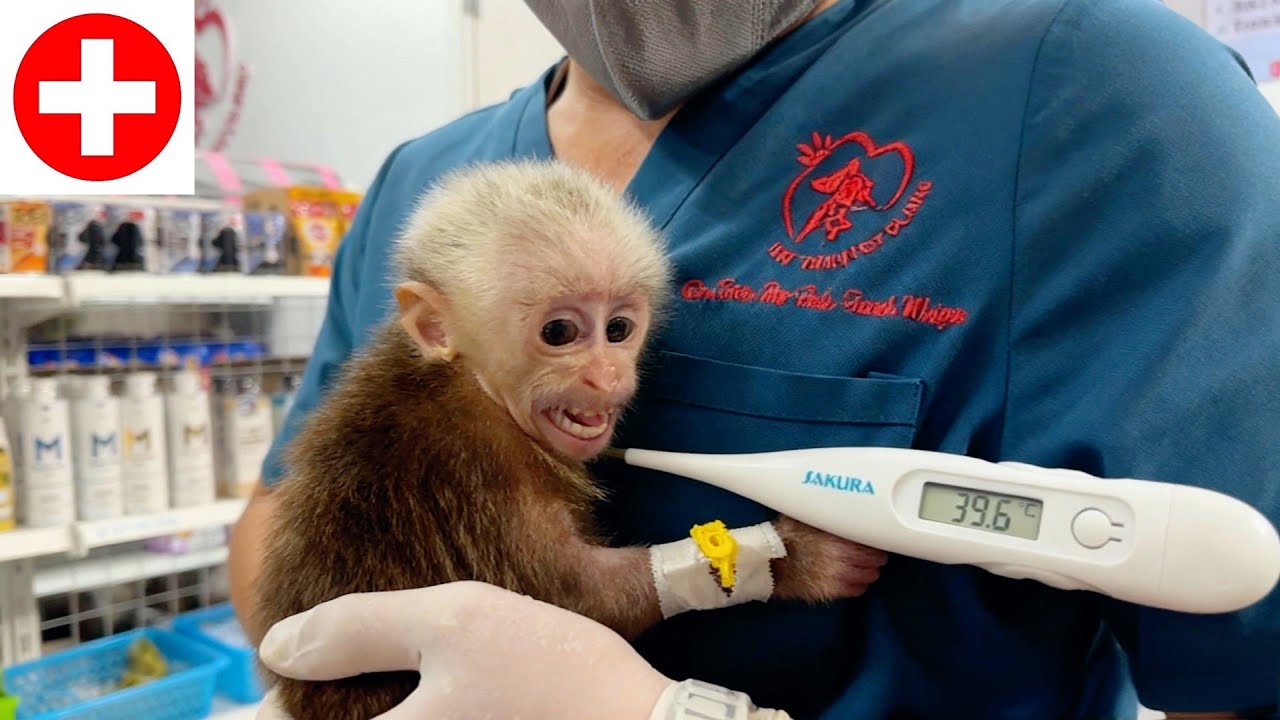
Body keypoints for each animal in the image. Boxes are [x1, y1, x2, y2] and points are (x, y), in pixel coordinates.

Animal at [252, 160, 885, 719]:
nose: (608, 377)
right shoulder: (478, 464)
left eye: (618, 329)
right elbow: (571, 599)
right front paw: (799, 559)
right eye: (560, 332)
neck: (472, 382)